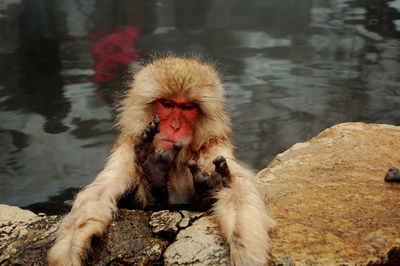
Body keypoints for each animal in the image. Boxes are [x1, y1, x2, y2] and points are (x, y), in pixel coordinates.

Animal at [47, 56, 276, 266]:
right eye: (167, 105)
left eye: (187, 108)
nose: (175, 126)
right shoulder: (128, 149)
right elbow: (97, 196)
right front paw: (69, 253)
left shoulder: (213, 150)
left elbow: (238, 193)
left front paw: (247, 256)